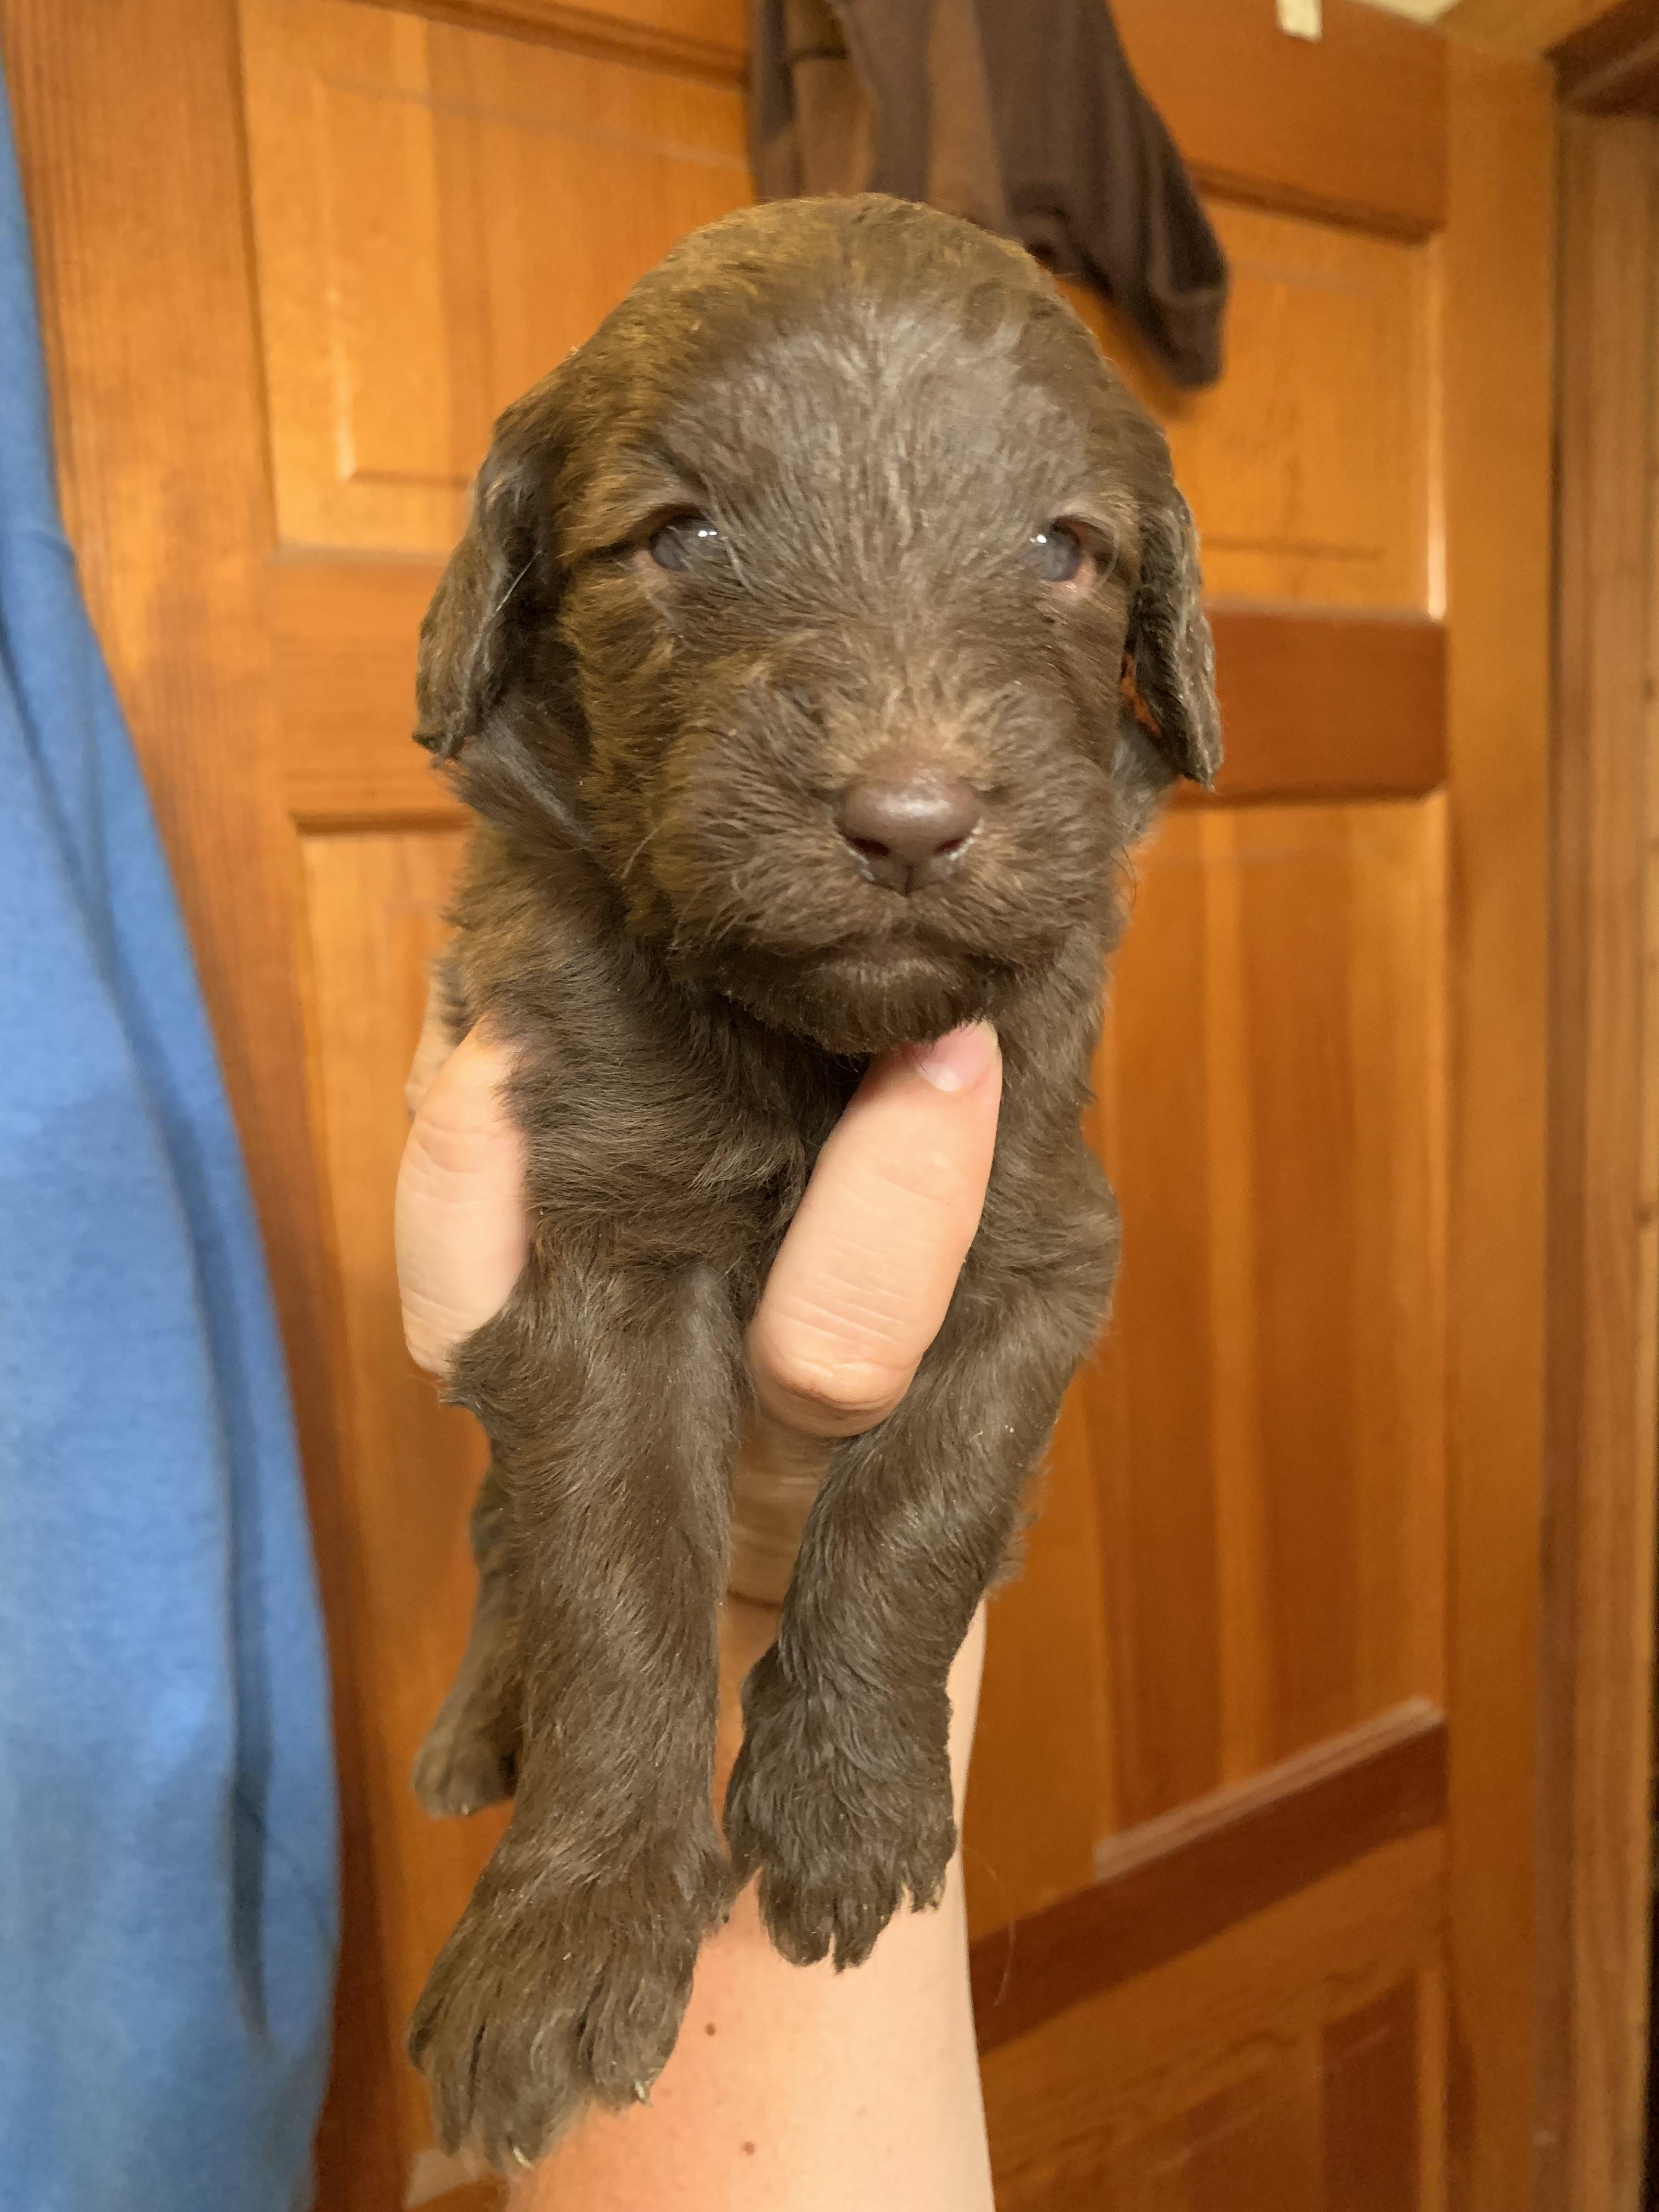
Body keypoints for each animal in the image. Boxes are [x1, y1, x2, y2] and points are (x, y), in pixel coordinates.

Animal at [404, 192, 1219, 2169]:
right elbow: (610, 1565)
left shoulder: (1036, 1235)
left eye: (1064, 548)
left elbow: (926, 1494)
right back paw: (478, 1728)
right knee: (501, 1544)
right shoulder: (593, 1237)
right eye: (678, 537)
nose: (909, 822)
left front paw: (849, 1798)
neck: (810, 1044)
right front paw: (573, 1926)